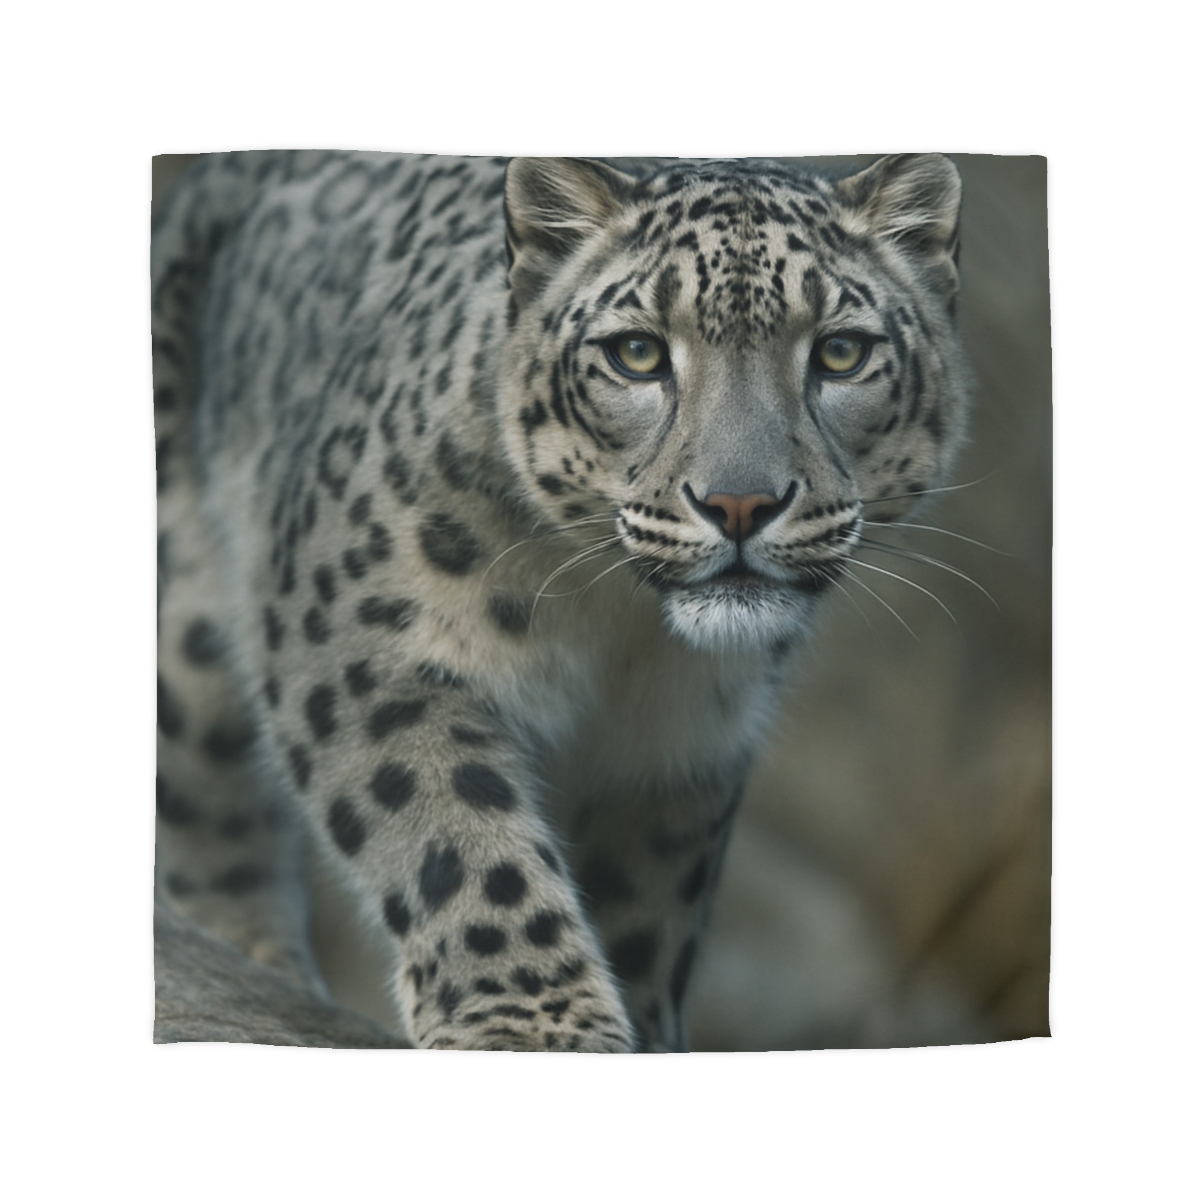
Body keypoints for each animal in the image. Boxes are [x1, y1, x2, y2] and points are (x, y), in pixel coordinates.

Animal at [153, 151, 969, 1052]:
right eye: (638, 353)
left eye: (841, 352)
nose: (739, 504)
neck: (618, 631)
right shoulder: (367, 643)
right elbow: (454, 829)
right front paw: (533, 1025)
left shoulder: (682, 747)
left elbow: (649, 906)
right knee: (205, 819)